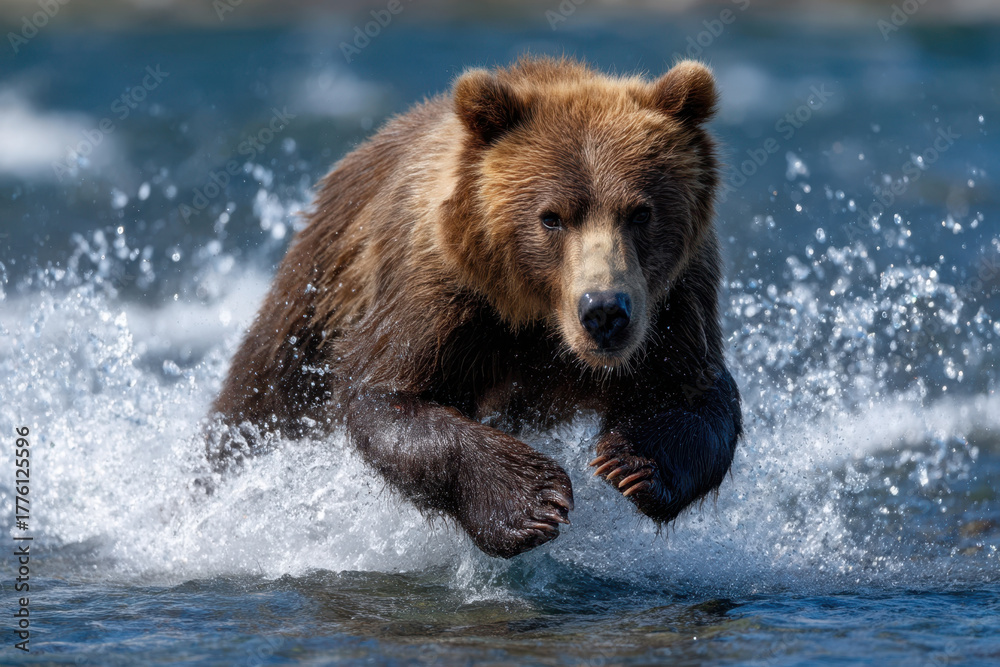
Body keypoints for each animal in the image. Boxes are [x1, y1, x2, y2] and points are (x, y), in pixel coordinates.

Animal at [208, 56, 743, 559]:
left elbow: (699, 394)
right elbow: (386, 394)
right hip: (312, 303)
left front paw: (631, 461)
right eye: (551, 217)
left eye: (640, 212)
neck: (539, 322)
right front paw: (530, 500)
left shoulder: (676, 300)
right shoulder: (442, 290)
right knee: (260, 401)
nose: (604, 311)